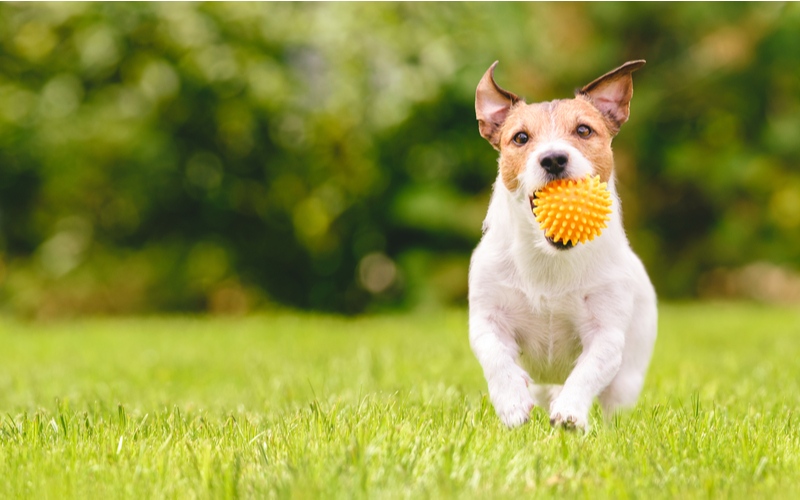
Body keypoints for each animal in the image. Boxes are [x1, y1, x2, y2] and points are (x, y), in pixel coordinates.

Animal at [468, 59, 656, 430]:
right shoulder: (486, 319)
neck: (550, 260)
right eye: (521, 137)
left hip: (628, 376)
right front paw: (511, 403)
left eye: (583, 130)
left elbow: (588, 371)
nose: (554, 158)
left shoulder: (606, 333)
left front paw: (570, 413)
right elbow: (496, 358)